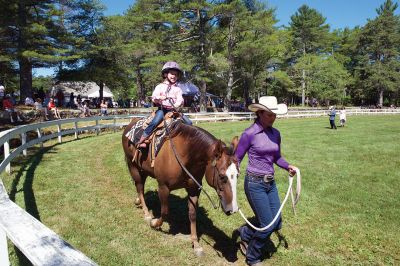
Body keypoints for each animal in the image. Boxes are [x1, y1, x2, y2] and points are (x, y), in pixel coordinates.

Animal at [122, 119, 239, 256]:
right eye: (221, 176)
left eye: (238, 174)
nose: (233, 209)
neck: (185, 156)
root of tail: (131, 123)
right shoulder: (163, 187)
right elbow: (165, 212)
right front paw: (154, 223)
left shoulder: (194, 189)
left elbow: (192, 215)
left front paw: (196, 244)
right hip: (133, 166)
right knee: (139, 187)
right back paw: (146, 213)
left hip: (143, 169)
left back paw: (138, 202)